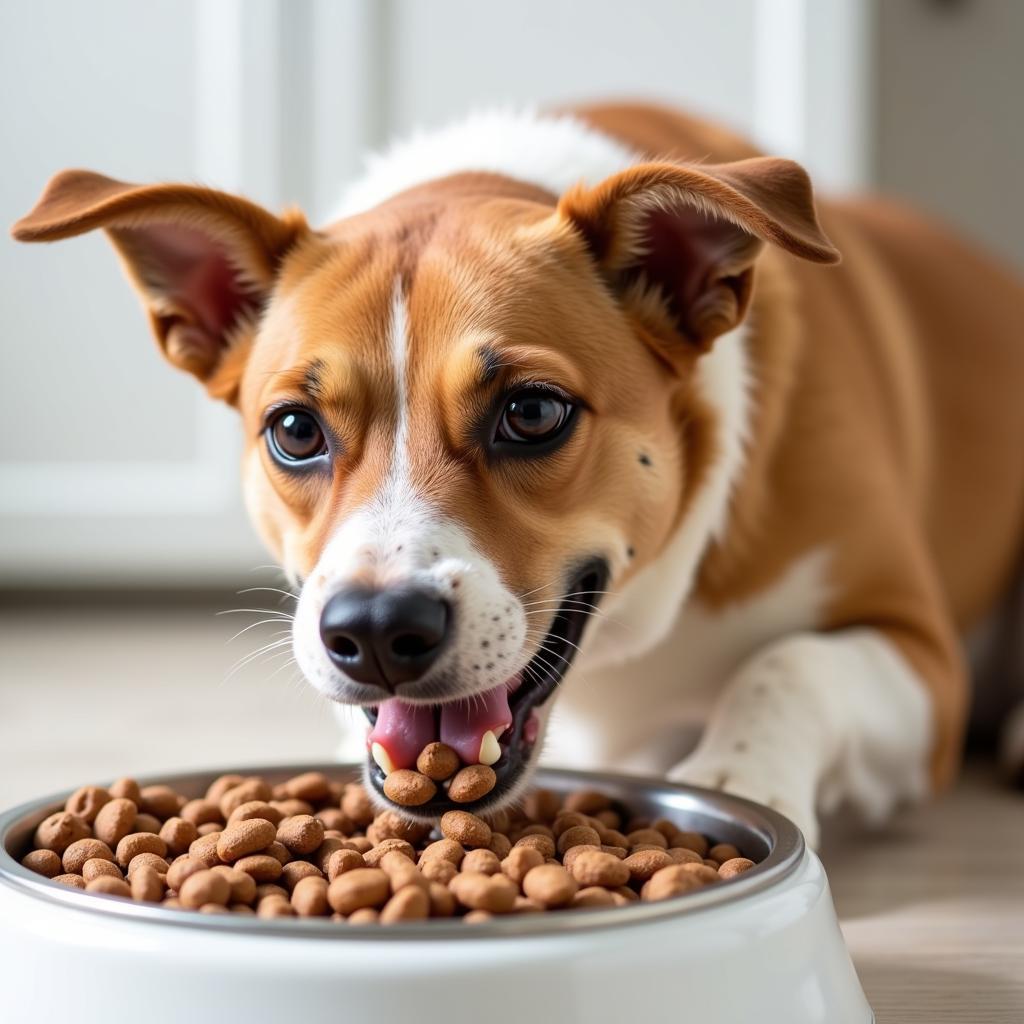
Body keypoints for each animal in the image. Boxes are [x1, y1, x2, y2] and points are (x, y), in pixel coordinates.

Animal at [16, 101, 1024, 847]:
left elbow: (791, 663)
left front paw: (742, 773)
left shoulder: (921, 653)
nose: (374, 633)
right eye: (295, 430)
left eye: (532, 413)